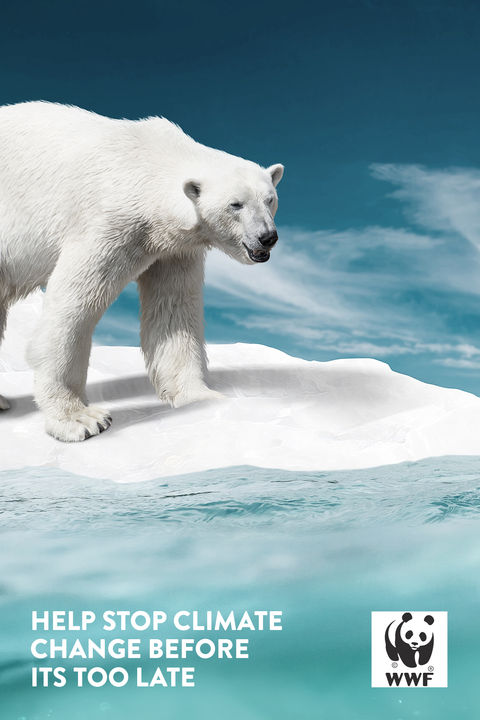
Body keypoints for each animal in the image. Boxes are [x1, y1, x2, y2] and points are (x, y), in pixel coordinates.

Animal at [0, 101, 284, 442]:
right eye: (235, 204)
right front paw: (79, 418)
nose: (267, 237)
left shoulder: (172, 250)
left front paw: (202, 396)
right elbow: (74, 302)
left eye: (270, 199)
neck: (145, 163)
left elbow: (173, 311)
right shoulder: (108, 222)